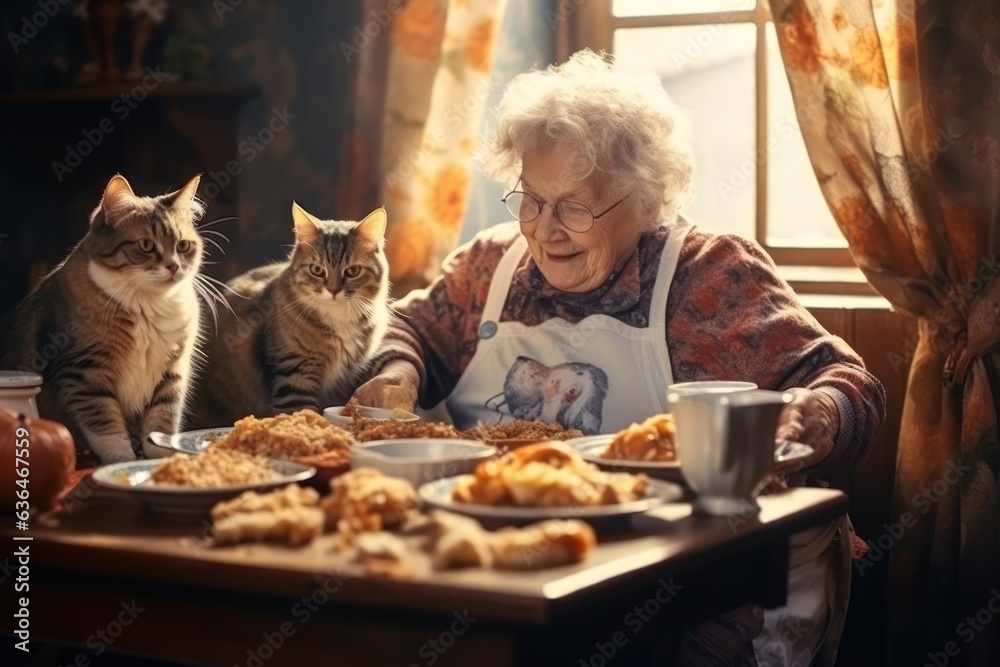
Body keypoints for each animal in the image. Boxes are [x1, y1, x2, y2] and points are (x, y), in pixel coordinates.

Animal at [0, 174, 207, 464]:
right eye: (146, 245)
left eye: (183, 246)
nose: (174, 266)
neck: (149, 304)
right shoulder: (84, 371)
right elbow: (105, 424)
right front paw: (125, 460)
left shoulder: (172, 371)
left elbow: (162, 421)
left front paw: (160, 458)